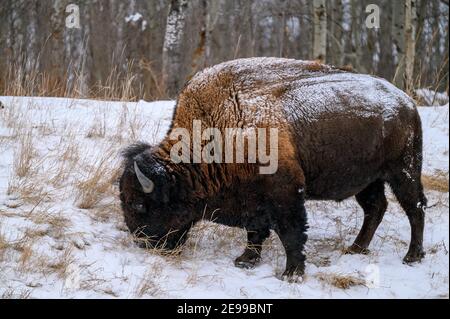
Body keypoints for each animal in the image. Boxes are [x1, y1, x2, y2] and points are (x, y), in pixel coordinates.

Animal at [118, 58, 426, 282]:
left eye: (139, 204)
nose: (142, 243)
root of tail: (407, 103)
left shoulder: (286, 195)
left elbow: (291, 234)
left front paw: (291, 274)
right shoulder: (253, 199)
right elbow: (255, 232)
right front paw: (245, 260)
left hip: (403, 171)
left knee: (415, 207)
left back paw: (412, 256)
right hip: (368, 180)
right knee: (375, 208)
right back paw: (356, 249)